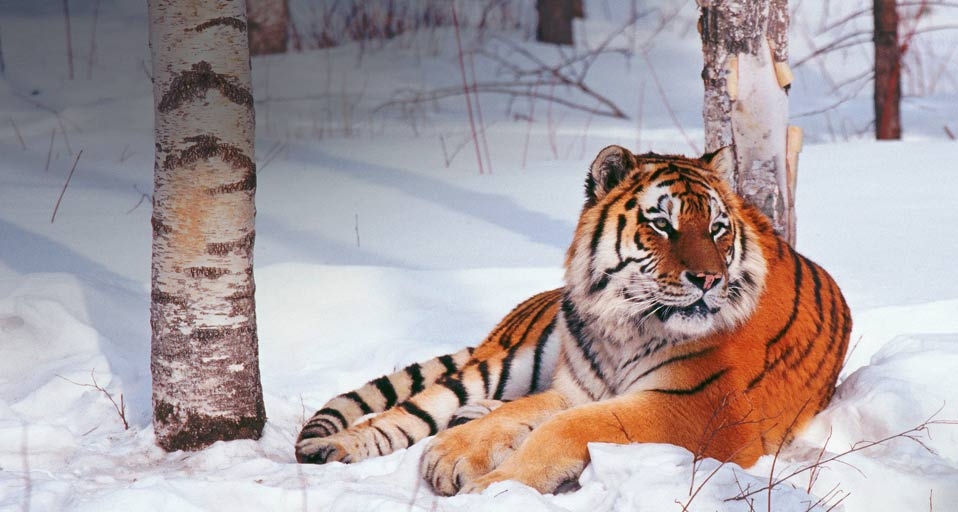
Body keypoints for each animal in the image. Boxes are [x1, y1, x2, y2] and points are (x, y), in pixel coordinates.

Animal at [295, 145, 852, 496]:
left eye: (717, 229)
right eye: (662, 224)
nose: (709, 280)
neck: (625, 325)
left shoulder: (696, 408)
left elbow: (565, 427)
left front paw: (493, 488)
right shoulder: (578, 389)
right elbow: (524, 414)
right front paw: (451, 454)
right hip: (497, 364)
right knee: (408, 413)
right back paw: (331, 449)